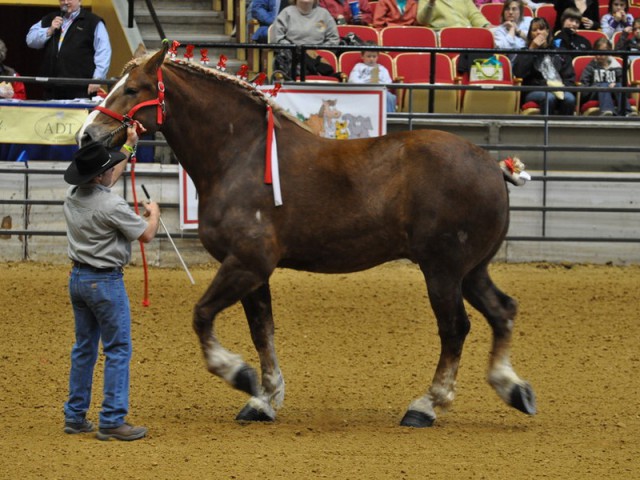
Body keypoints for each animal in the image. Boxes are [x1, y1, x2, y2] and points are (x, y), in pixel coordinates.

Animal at [77, 44, 536, 428]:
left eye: (132, 88)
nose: (87, 135)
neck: (239, 156)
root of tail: (492, 166)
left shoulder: (247, 263)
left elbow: (203, 315)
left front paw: (239, 375)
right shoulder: (253, 272)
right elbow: (262, 331)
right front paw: (264, 400)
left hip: (442, 271)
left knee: (455, 328)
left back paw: (427, 405)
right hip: (470, 271)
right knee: (503, 311)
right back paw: (514, 389)